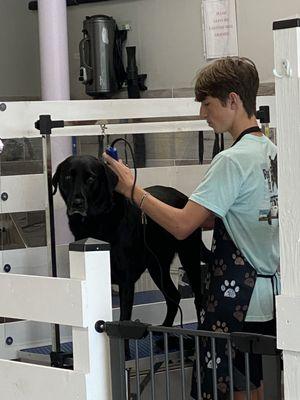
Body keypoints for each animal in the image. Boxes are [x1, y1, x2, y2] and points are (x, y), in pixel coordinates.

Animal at [52, 155, 211, 326]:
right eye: (68, 177)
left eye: (91, 178)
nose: (77, 203)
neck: (97, 221)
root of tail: (186, 198)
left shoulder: (126, 280)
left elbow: (123, 319)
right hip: (156, 265)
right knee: (174, 295)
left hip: (189, 256)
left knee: (198, 298)